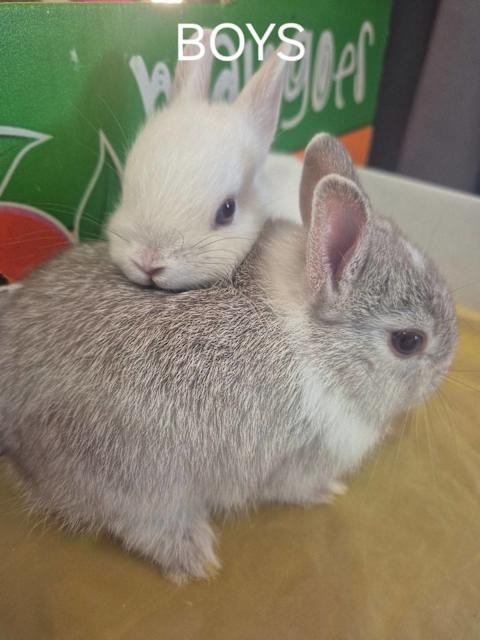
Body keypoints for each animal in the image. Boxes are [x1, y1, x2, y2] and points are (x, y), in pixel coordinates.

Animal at [0, 134, 457, 582]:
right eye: (408, 342)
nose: (444, 371)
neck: (318, 347)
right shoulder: (297, 459)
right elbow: (293, 487)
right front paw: (329, 491)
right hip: (139, 481)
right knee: (137, 523)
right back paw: (193, 555)